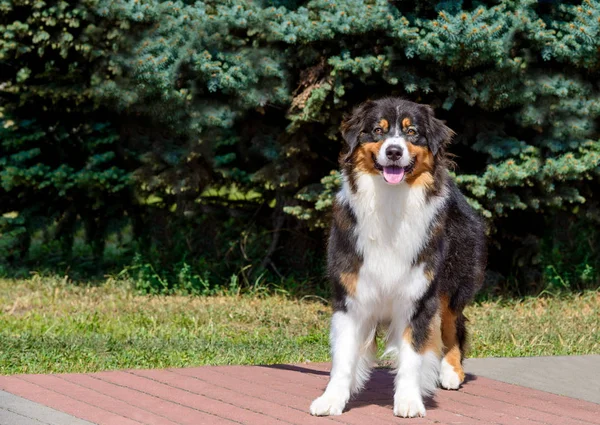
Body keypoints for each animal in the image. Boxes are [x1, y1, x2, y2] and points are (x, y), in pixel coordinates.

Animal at [310, 97, 488, 416]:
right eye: (378, 130)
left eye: (412, 132)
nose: (394, 151)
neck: (390, 202)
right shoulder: (351, 296)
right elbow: (343, 358)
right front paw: (332, 399)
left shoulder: (418, 297)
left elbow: (413, 357)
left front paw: (408, 400)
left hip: (453, 283)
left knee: (453, 324)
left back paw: (451, 372)